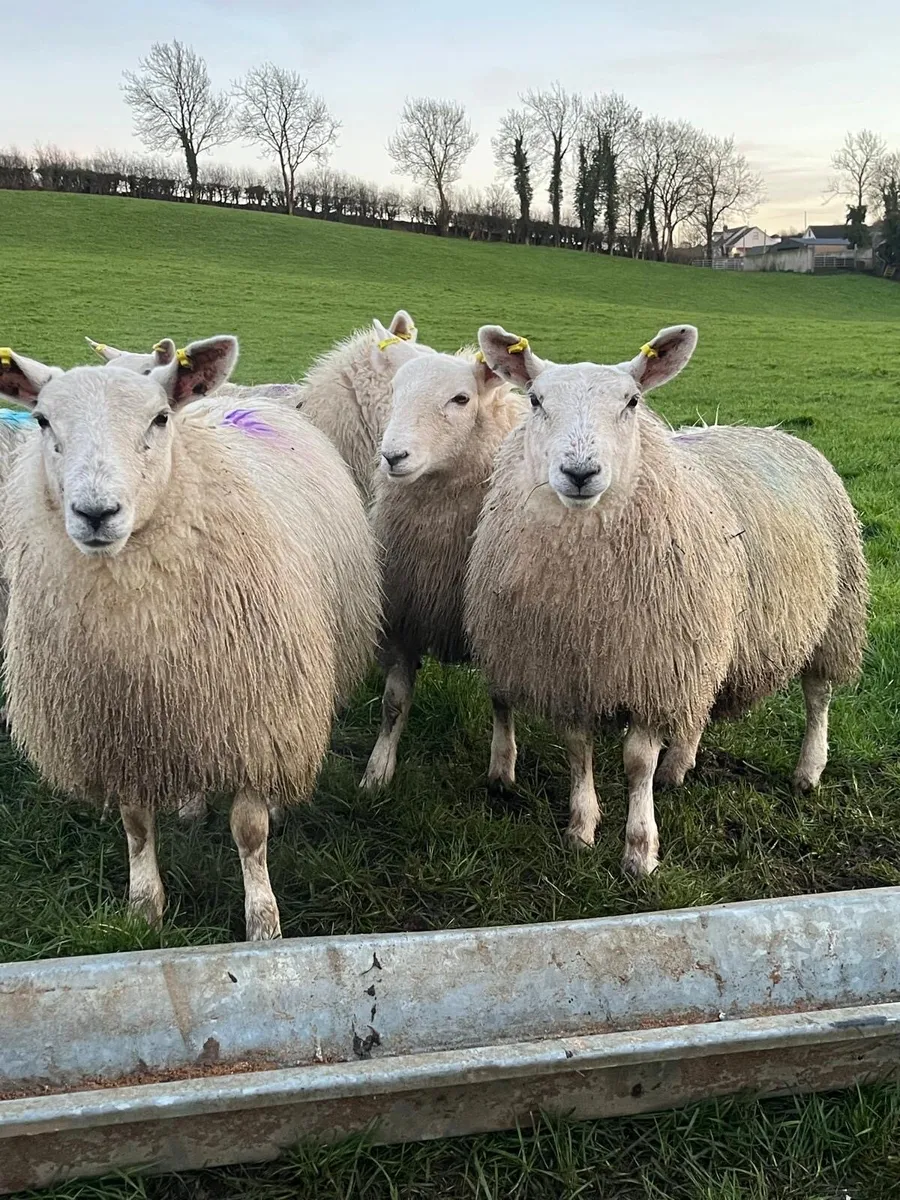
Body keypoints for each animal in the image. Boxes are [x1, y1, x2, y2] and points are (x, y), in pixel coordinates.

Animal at [361, 342, 527, 791]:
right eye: (394, 392)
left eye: (461, 399)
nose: (392, 456)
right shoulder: (404, 613)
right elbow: (394, 703)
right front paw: (377, 772)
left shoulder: (495, 626)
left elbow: (502, 698)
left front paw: (502, 768)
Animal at [467, 323, 867, 877]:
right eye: (536, 400)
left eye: (633, 401)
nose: (580, 472)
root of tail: (777, 432)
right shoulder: (570, 667)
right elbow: (577, 748)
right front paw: (581, 828)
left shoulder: (653, 666)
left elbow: (637, 761)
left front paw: (639, 849)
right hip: (709, 635)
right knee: (702, 701)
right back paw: (679, 765)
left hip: (834, 614)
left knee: (818, 695)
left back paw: (808, 770)